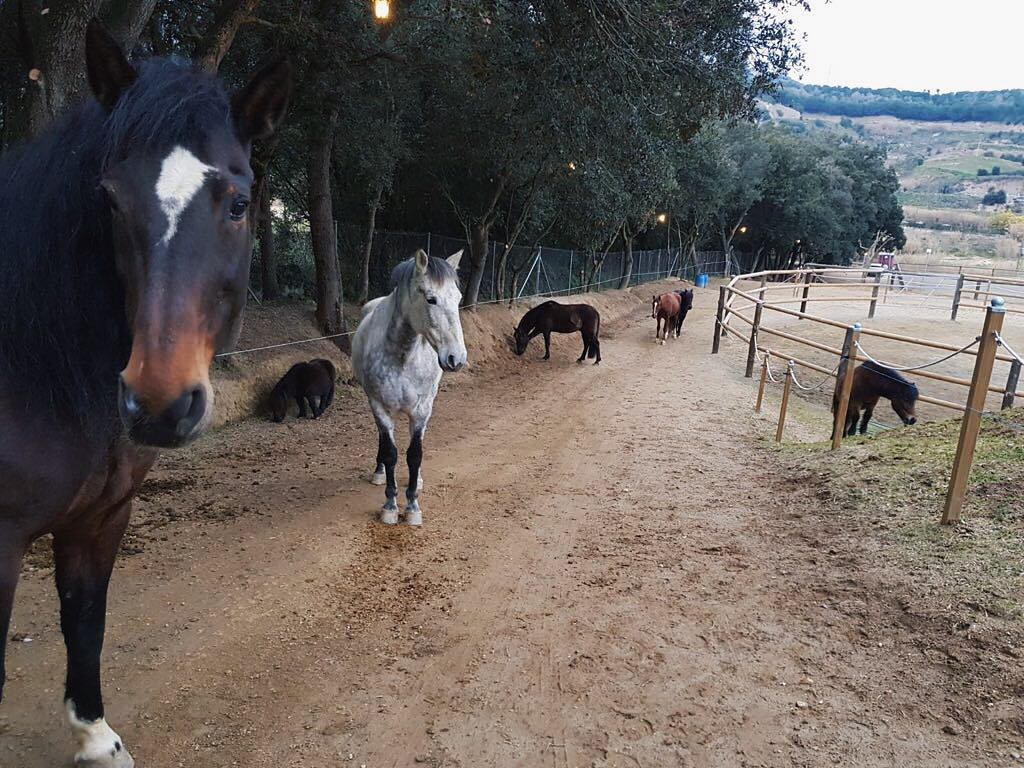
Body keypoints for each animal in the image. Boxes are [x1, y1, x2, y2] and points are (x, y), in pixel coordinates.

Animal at [0, 20, 288, 765]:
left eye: (239, 203)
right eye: (108, 200)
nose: (159, 403)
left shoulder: (100, 519)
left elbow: (86, 622)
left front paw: (96, 737)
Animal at [350, 249, 466, 528]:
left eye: (458, 298)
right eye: (431, 299)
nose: (456, 358)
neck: (403, 354)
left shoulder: (421, 411)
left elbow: (415, 455)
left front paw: (412, 507)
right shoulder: (380, 407)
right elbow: (391, 452)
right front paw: (390, 506)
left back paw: (419, 479)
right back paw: (379, 472)